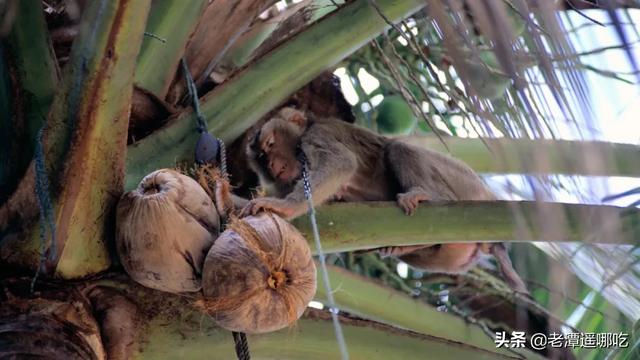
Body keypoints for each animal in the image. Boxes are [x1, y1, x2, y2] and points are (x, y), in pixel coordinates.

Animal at [242, 107, 528, 292]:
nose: (272, 165)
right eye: (262, 160)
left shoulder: (318, 136)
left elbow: (341, 164)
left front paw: (283, 207)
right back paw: (402, 248)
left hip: (464, 183)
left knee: (399, 148)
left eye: (270, 145)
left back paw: (426, 195)